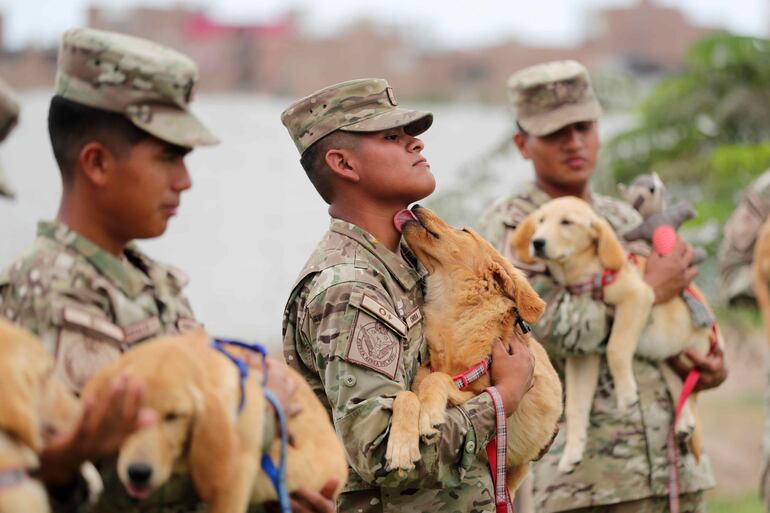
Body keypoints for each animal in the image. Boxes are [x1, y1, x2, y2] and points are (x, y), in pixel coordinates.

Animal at [388, 204, 560, 492]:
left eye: (464, 230)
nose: (415, 206)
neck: (456, 315)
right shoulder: (424, 373)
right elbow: (407, 394)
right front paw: (400, 447)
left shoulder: (481, 392)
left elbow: (438, 379)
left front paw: (428, 415)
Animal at [510, 196, 712, 472]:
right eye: (540, 221)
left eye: (566, 222)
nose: (537, 242)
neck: (582, 272)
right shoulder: (582, 355)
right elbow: (575, 405)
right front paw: (572, 452)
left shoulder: (637, 296)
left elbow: (615, 348)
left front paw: (626, 395)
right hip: (668, 359)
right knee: (679, 387)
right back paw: (683, 423)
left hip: (694, 352)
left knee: (692, 391)